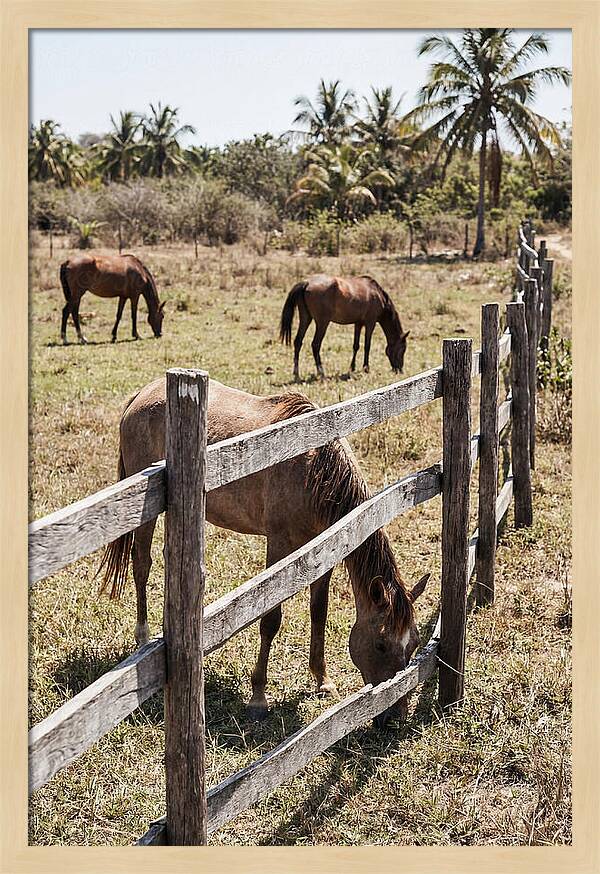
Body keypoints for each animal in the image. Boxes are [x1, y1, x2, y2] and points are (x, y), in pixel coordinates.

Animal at [99, 378, 430, 726]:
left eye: (414, 644)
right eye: (380, 645)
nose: (395, 715)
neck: (313, 469)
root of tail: (142, 394)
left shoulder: (324, 548)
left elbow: (319, 612)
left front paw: (322, 681)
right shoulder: (279, 544)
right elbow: (271, 619)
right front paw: (258, 697)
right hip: (144, 512)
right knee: (141, 565)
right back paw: (143, 637)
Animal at [280, 274, 410, 380]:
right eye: (402, 349)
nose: (399, 370)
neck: (377, 294)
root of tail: (306, 283)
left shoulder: (358, 324)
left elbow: (356, 346)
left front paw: (352, 368)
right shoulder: (370, 323)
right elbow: (367, 346)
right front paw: (366, 368)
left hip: (306, 319)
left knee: (298, 342)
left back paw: (296, 373)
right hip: (322, 323)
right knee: (315, 345)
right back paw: (321, 372)